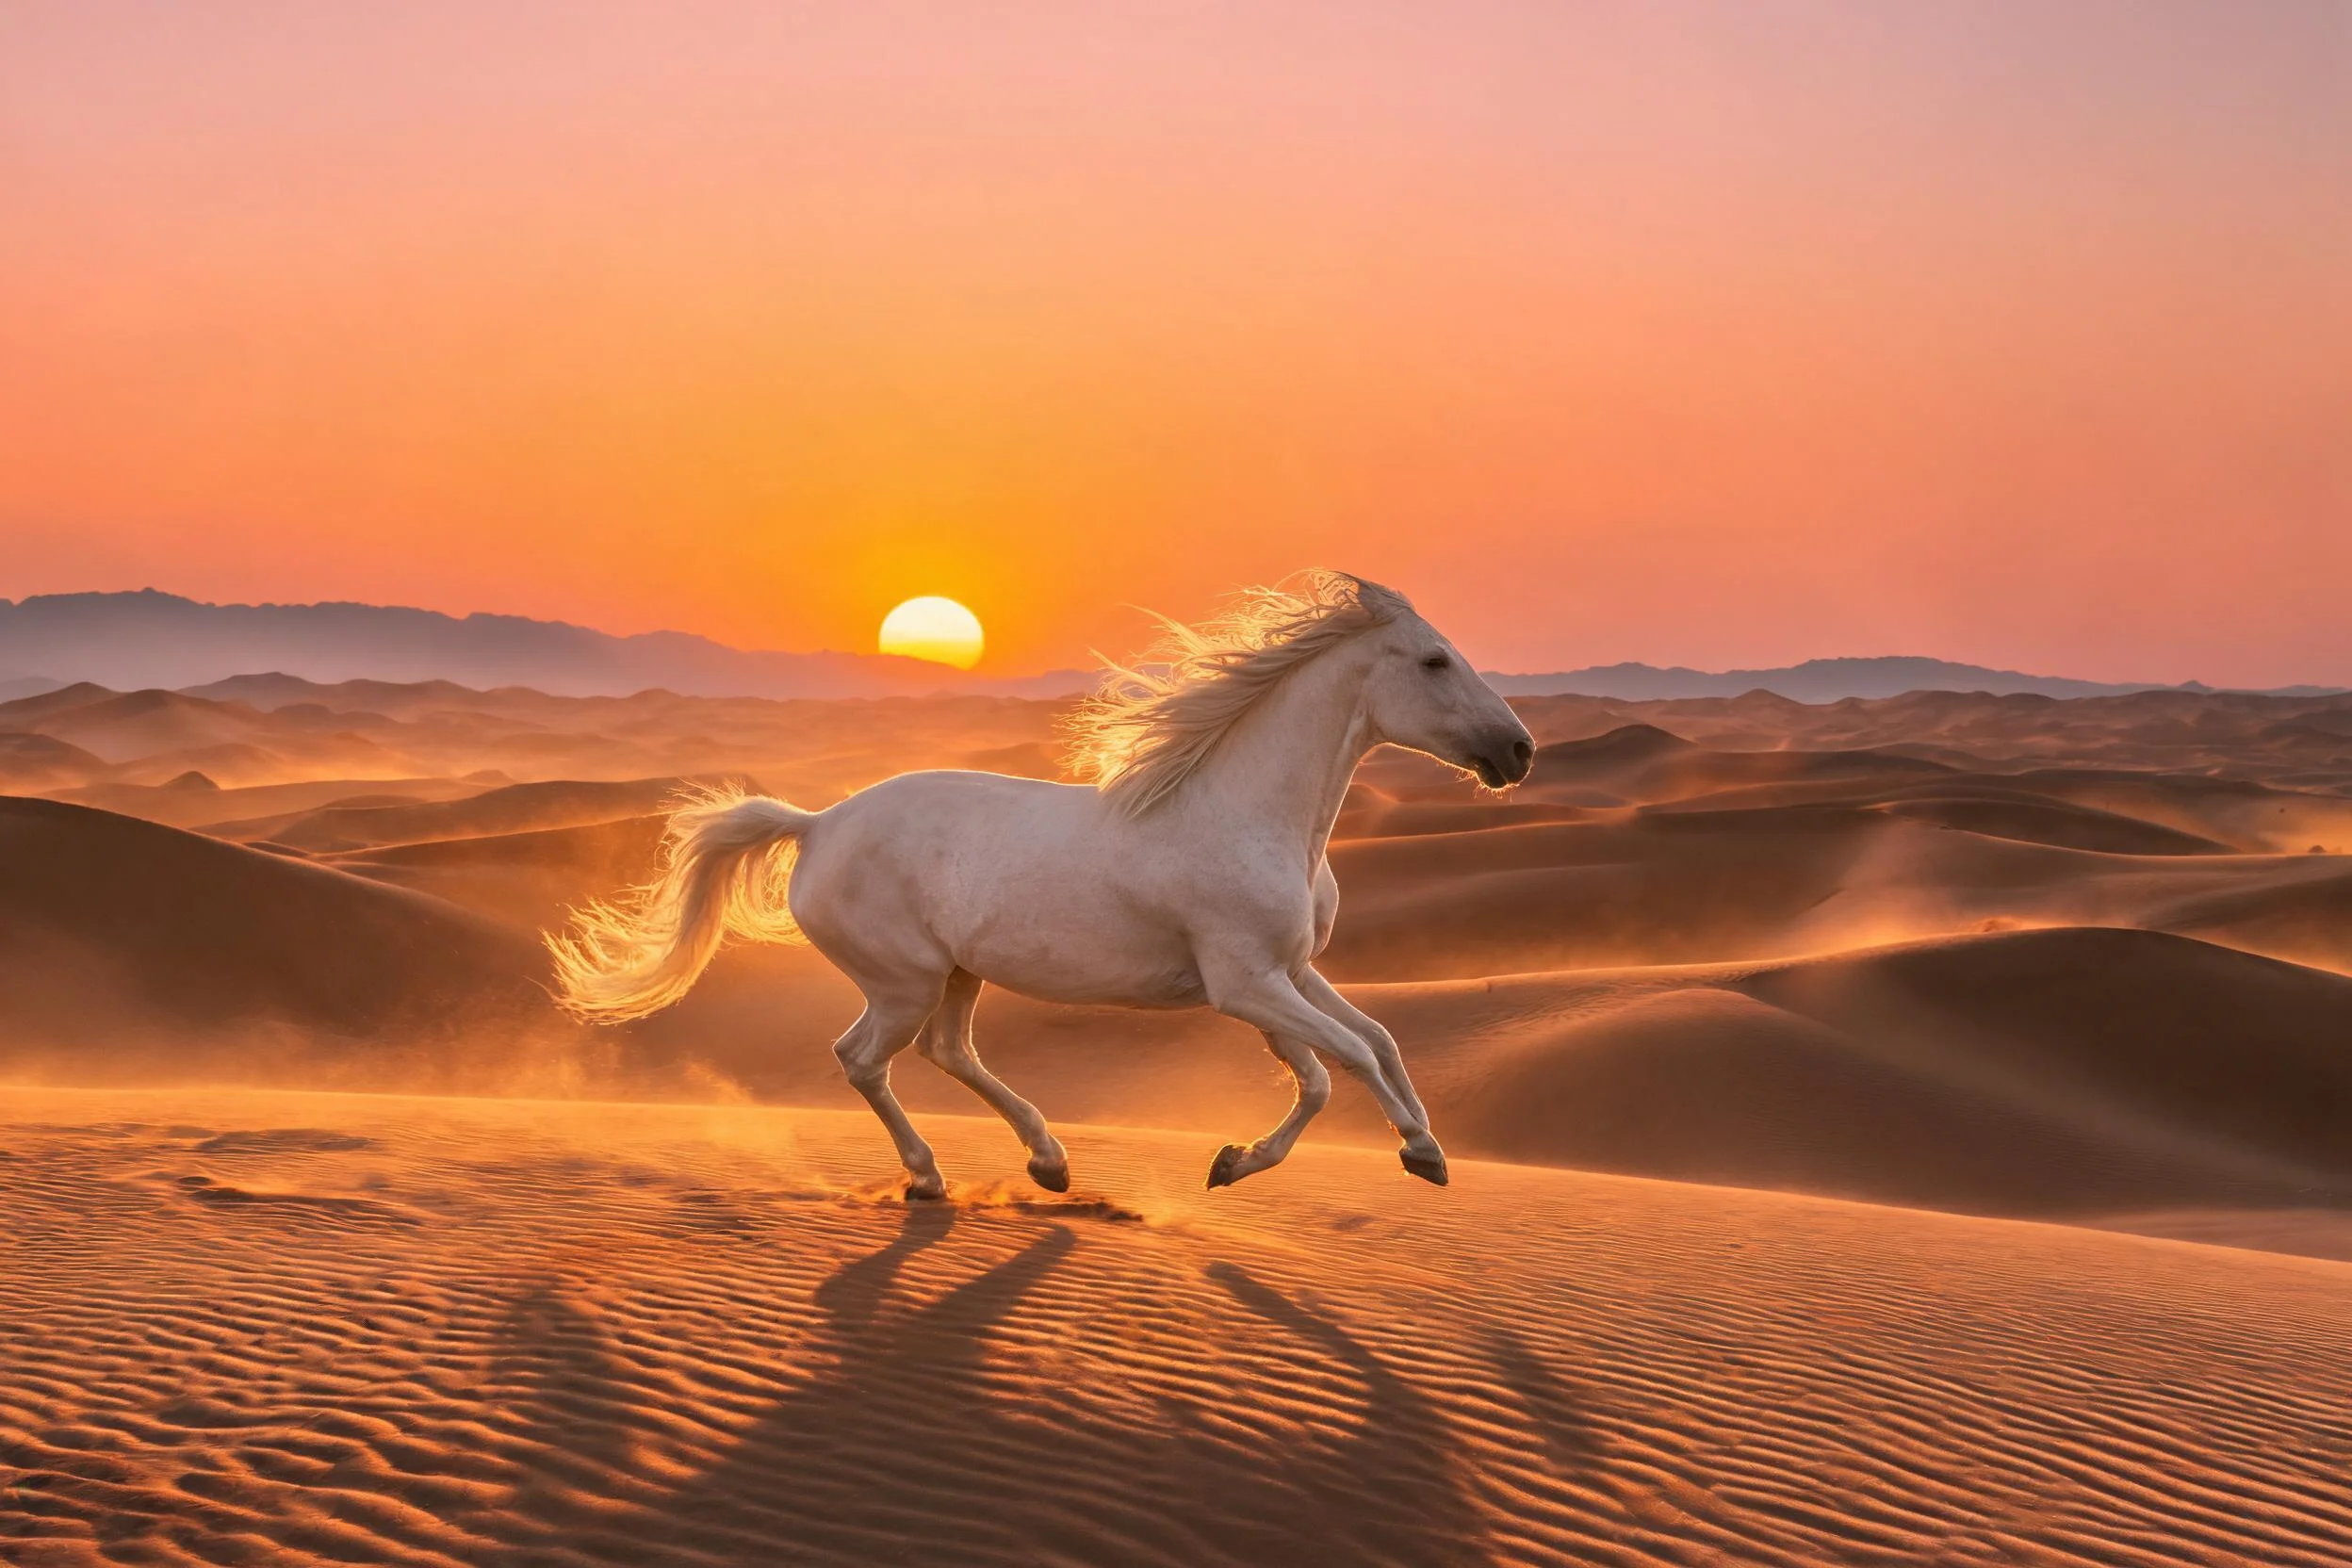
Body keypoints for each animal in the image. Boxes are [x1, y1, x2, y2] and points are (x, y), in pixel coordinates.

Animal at [549, 571, 1536, 1197]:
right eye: (1435, 661)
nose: (1519, 751)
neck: (1250, 813)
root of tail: (819, 824)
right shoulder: (1246, 984)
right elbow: (1350, 1059)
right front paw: (1416, 1153)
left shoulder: (1283, 976)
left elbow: (1360, 1052)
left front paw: (1246, 1162)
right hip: (902, 981)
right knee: (865, 1058)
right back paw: (930, 1177)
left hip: (956, 975)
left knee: (948, 1053)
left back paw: (1049, 1161)